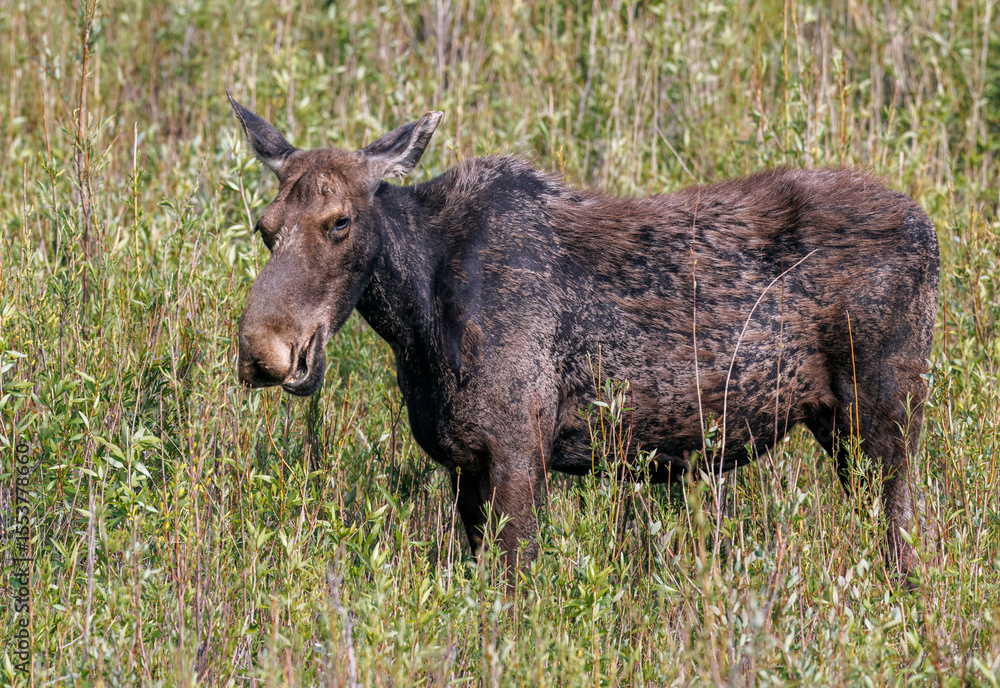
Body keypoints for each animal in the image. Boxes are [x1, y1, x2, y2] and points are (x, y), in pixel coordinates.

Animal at [228, 94, 938, 581]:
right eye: (265, 226)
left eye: (340, 221)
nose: (265, 351)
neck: (416, 319)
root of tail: (930, 229)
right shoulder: (465, 460)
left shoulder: (518, 446)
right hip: (838, 424)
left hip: (884, 409)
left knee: (904, 536)